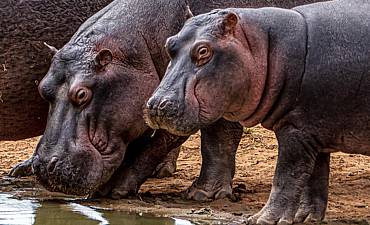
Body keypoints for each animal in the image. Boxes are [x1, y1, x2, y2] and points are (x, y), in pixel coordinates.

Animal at [31, 0, 324, 200]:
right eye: (43, 88)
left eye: (82, 94)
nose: (42, 168)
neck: (140, 47)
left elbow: (212, 140)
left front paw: (202, 194)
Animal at [146, 0, 370, 223]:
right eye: (169, 44)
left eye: (203, 51)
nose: (157, 105)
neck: (266, 45)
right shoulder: (314, 134)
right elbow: (313, 180)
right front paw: (304, 218)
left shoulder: (296, 130)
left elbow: (286, 177)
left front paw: (262, 219)